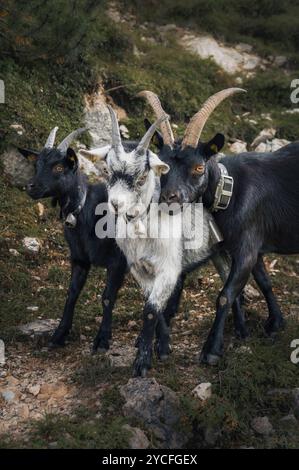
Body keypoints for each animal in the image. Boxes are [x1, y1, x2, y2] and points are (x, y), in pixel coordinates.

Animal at [84, 104, 255, 376]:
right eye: (108, 171)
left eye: (143, 176)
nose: (116, 204)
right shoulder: (139, 268)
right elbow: (154, 306)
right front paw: (162, 346)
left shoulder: (168, 267)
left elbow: (151, 311)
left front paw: (143, 362)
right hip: (216, 252)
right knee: (232, 286)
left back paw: (243, 333)